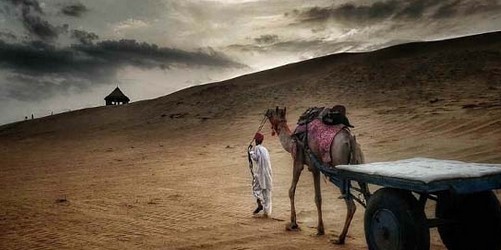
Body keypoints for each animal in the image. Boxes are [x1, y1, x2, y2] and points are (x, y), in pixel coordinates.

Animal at [264, 106, 366, 244]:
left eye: (271, 112)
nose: (266, 112)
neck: (291, 140)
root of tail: (350, 140)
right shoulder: (315, 168)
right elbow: (318, 198)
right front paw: (320, 229)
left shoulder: (299, 160)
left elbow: (291, 190)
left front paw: (293, 223)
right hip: (359, 160)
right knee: (366, 192)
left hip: (340, 167)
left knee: (351, 205)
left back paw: (340, 238)